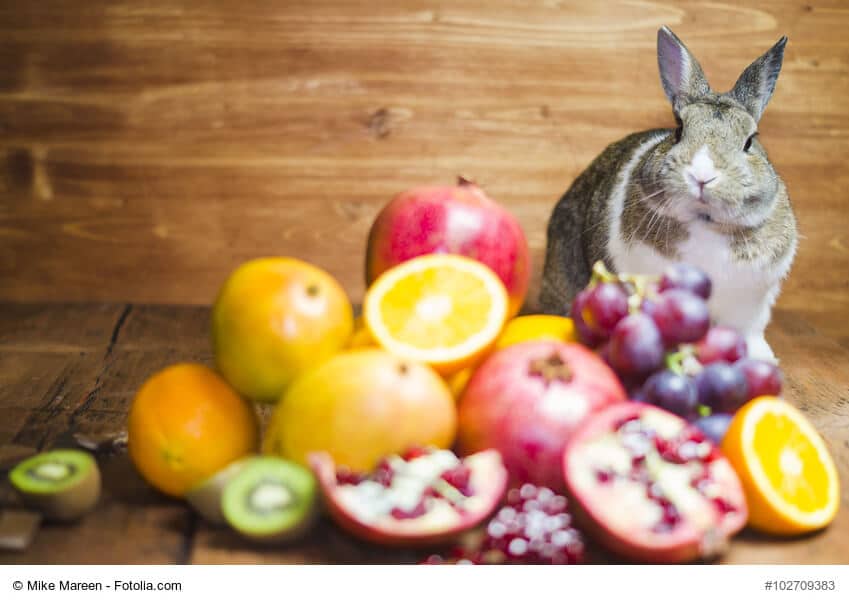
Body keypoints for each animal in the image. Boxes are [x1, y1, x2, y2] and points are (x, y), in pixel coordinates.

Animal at [539, 26, 798, 362]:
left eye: (750, 141)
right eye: (678, 130)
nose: (702, 175)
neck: (705, 223)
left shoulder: (750, 305)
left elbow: (749, 332)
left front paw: (762, 359)